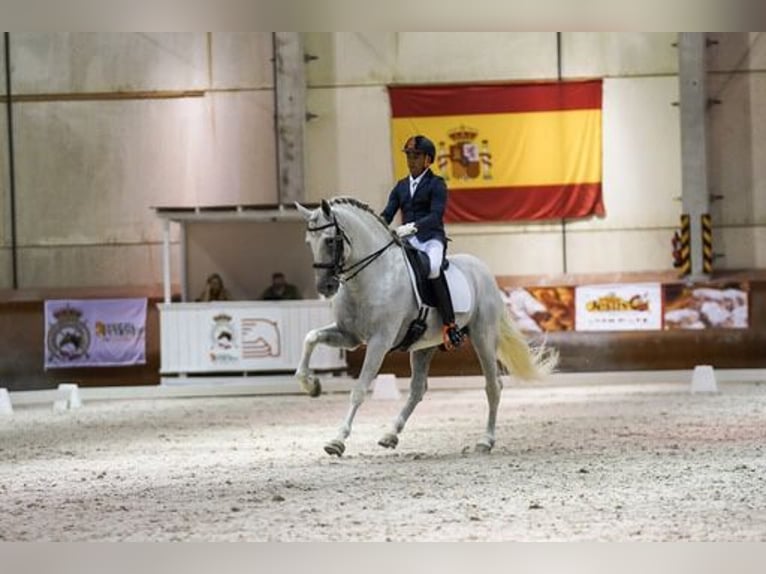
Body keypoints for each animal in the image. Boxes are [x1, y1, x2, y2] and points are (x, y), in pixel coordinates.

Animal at [296, 198, 560, 460]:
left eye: (330, 240)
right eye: (309, 242)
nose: (325, 287)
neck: (373, 276)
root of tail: (482, 269)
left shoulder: (379, 341)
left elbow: (359, 389)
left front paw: (337, 440)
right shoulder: (349, 336)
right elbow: (310, 338)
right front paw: (311, 384)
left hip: (483, 336)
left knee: (493, 386)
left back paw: (485, 441)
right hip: (424, 346)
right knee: (417, 390)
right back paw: (390, 435)